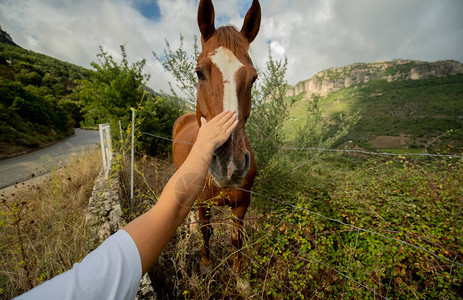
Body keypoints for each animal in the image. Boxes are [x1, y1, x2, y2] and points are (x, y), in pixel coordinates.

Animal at [173, 0, 260, 276]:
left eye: (253, 78)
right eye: (199, 72)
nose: (229, 165)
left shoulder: (242, 203)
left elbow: (236, 239)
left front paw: (241, 276)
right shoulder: (203, 203)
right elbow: (206, 231)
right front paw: (205, 263)